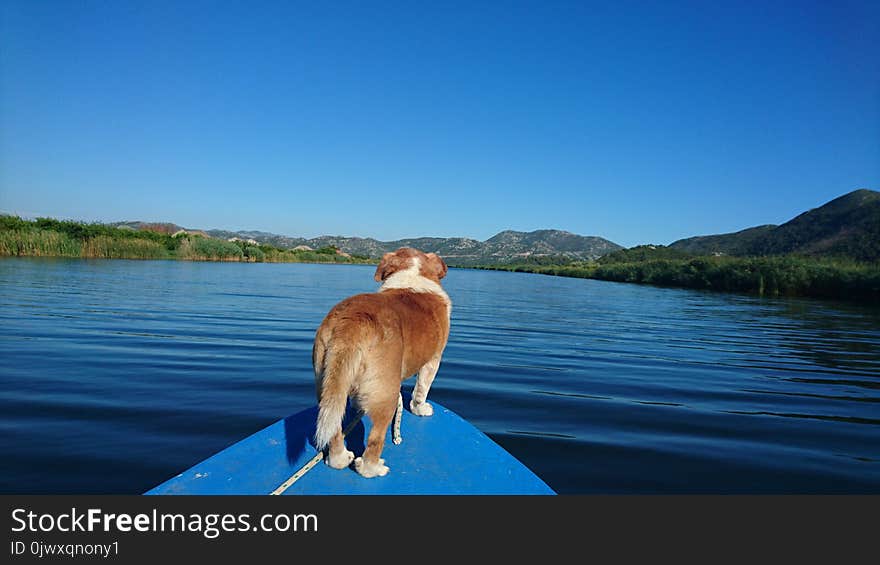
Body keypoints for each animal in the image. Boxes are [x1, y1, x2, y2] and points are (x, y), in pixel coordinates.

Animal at [312, 247, 450, 476]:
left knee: (334, 429)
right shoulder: (433, 360)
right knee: (375, 441)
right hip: (387, 395)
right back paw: (373, 468)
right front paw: (421, 409)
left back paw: (339, 459)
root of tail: (354, 320)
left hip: (327, 387)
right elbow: (421, 390)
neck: (411, 274)